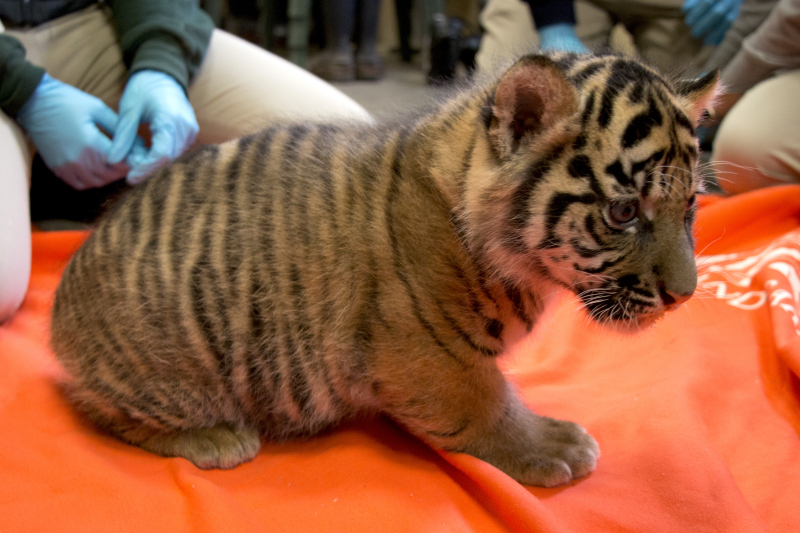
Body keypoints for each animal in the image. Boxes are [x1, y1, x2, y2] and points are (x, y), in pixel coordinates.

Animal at [50, 52, 719, 488]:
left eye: (690, 205)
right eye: (623, 211)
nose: (684, 295)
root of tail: (60, 312)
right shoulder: (426, 353)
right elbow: (486, 403)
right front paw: (553, 446)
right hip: (171, 367)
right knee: (101, 411)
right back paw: (217, 437)